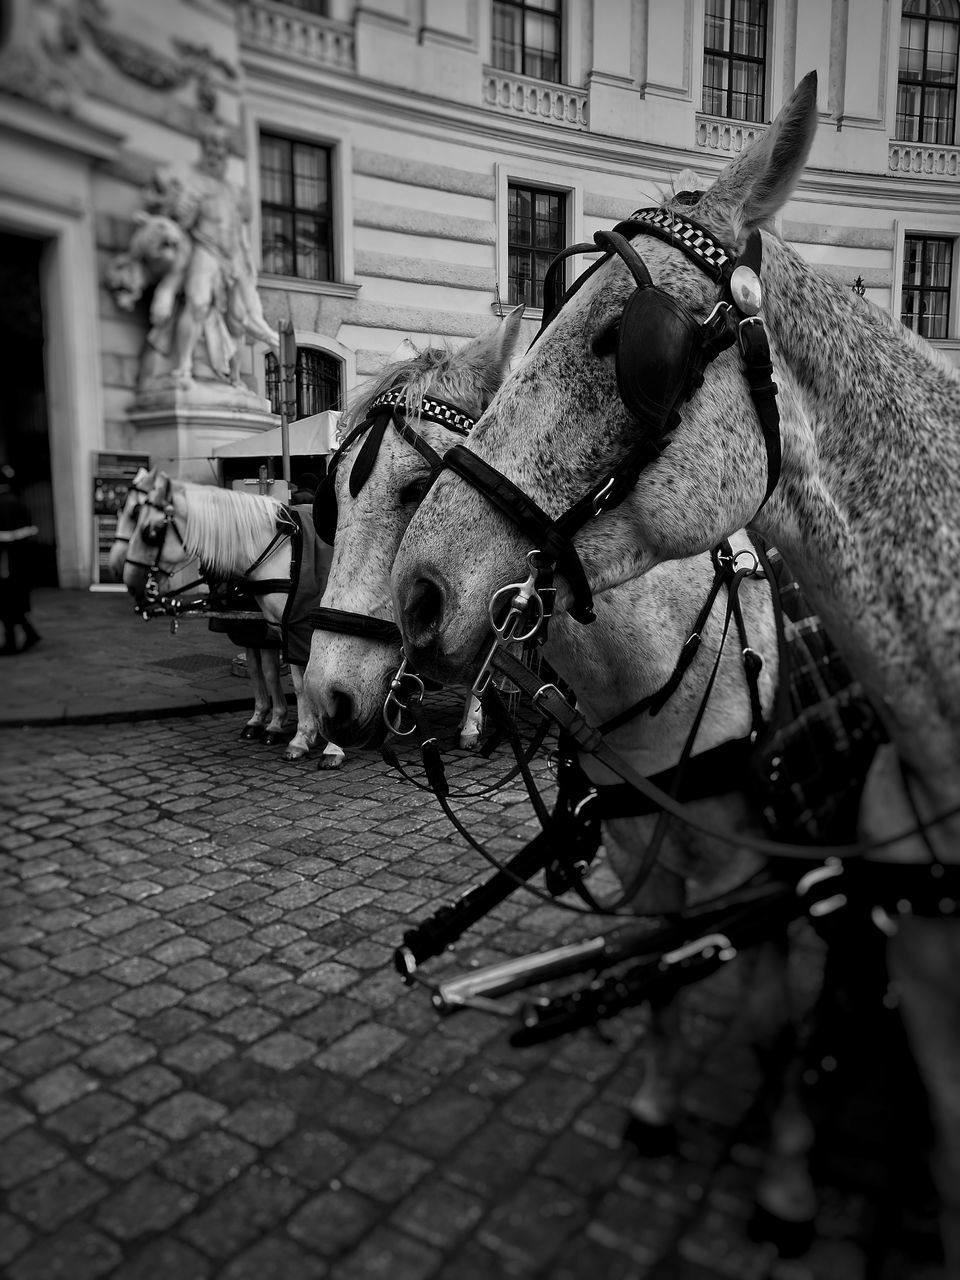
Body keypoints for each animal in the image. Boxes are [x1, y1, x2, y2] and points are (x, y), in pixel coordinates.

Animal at [119, 473, 343, 762]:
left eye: (150, 532)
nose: (130, 582)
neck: (281, 552)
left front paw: (332, 745)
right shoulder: (285, 630)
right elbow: (293, 681)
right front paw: (301, 736)